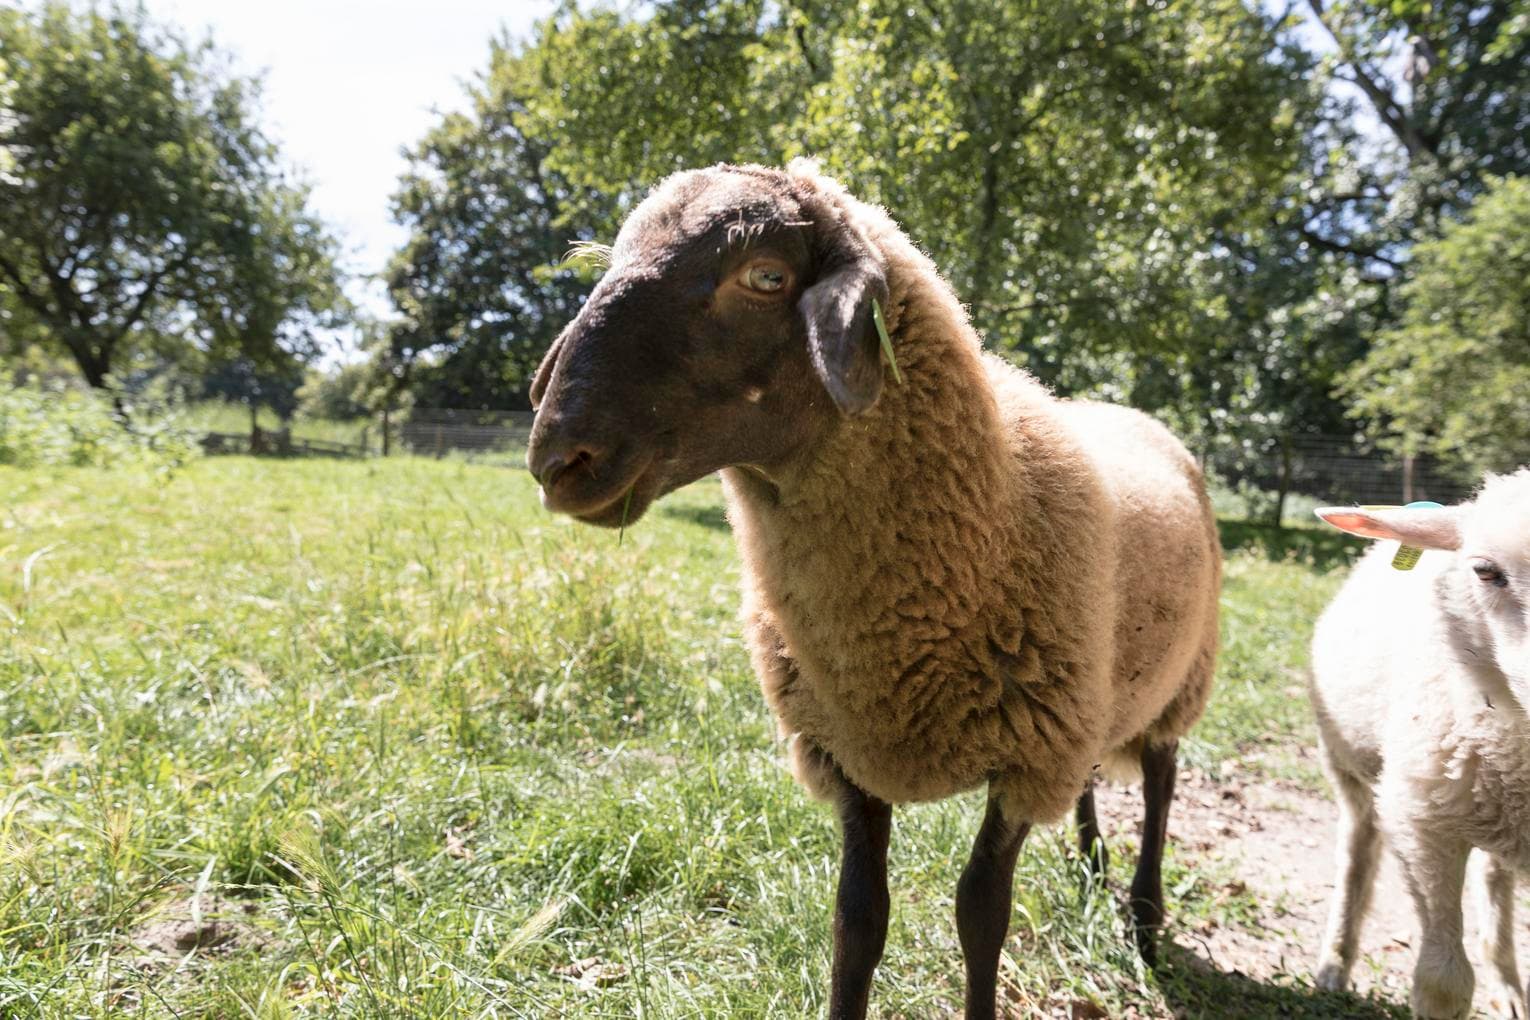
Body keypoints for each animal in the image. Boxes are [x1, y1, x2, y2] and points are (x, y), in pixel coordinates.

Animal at [526, 163, 1217, 1015]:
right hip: (1096, 694)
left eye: (765, 276)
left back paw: (1145, 918)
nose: (558, 458)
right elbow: (858, 921)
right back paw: (1090, 871)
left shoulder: (1025, 759)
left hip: (1180, 679)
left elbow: (981, 913)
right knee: (1095, 776)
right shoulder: (848, 748)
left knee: (1160, 782)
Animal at [1309, 471, 1530, 1020]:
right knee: (1356, 855)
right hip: (1350, 767)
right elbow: (1443, 983)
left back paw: (1508, 984)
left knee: (1494, 878)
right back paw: (1335, 963)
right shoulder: (1423, 823)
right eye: (1486, 571)